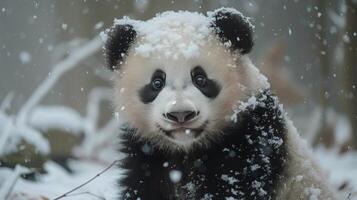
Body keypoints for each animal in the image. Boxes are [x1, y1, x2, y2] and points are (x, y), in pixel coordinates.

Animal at [104, 7, 336, 200]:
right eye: (156, 83)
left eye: (200, 78)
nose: (181, 114)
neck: (187, 149)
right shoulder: (148, 153)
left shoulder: (251, 139)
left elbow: (233, 187)